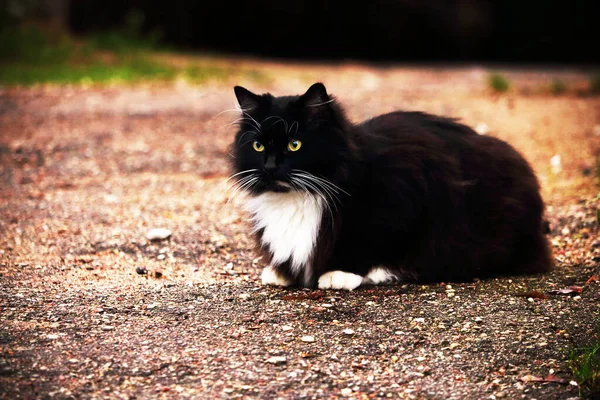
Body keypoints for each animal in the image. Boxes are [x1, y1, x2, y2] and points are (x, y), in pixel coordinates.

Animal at [229, 83, 552, 290]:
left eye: (294, 145)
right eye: (258, 146)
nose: (270, 167)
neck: (302, 195)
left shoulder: (405, 199)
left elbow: (368, 243)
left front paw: (340, 273)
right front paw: (281, 272)